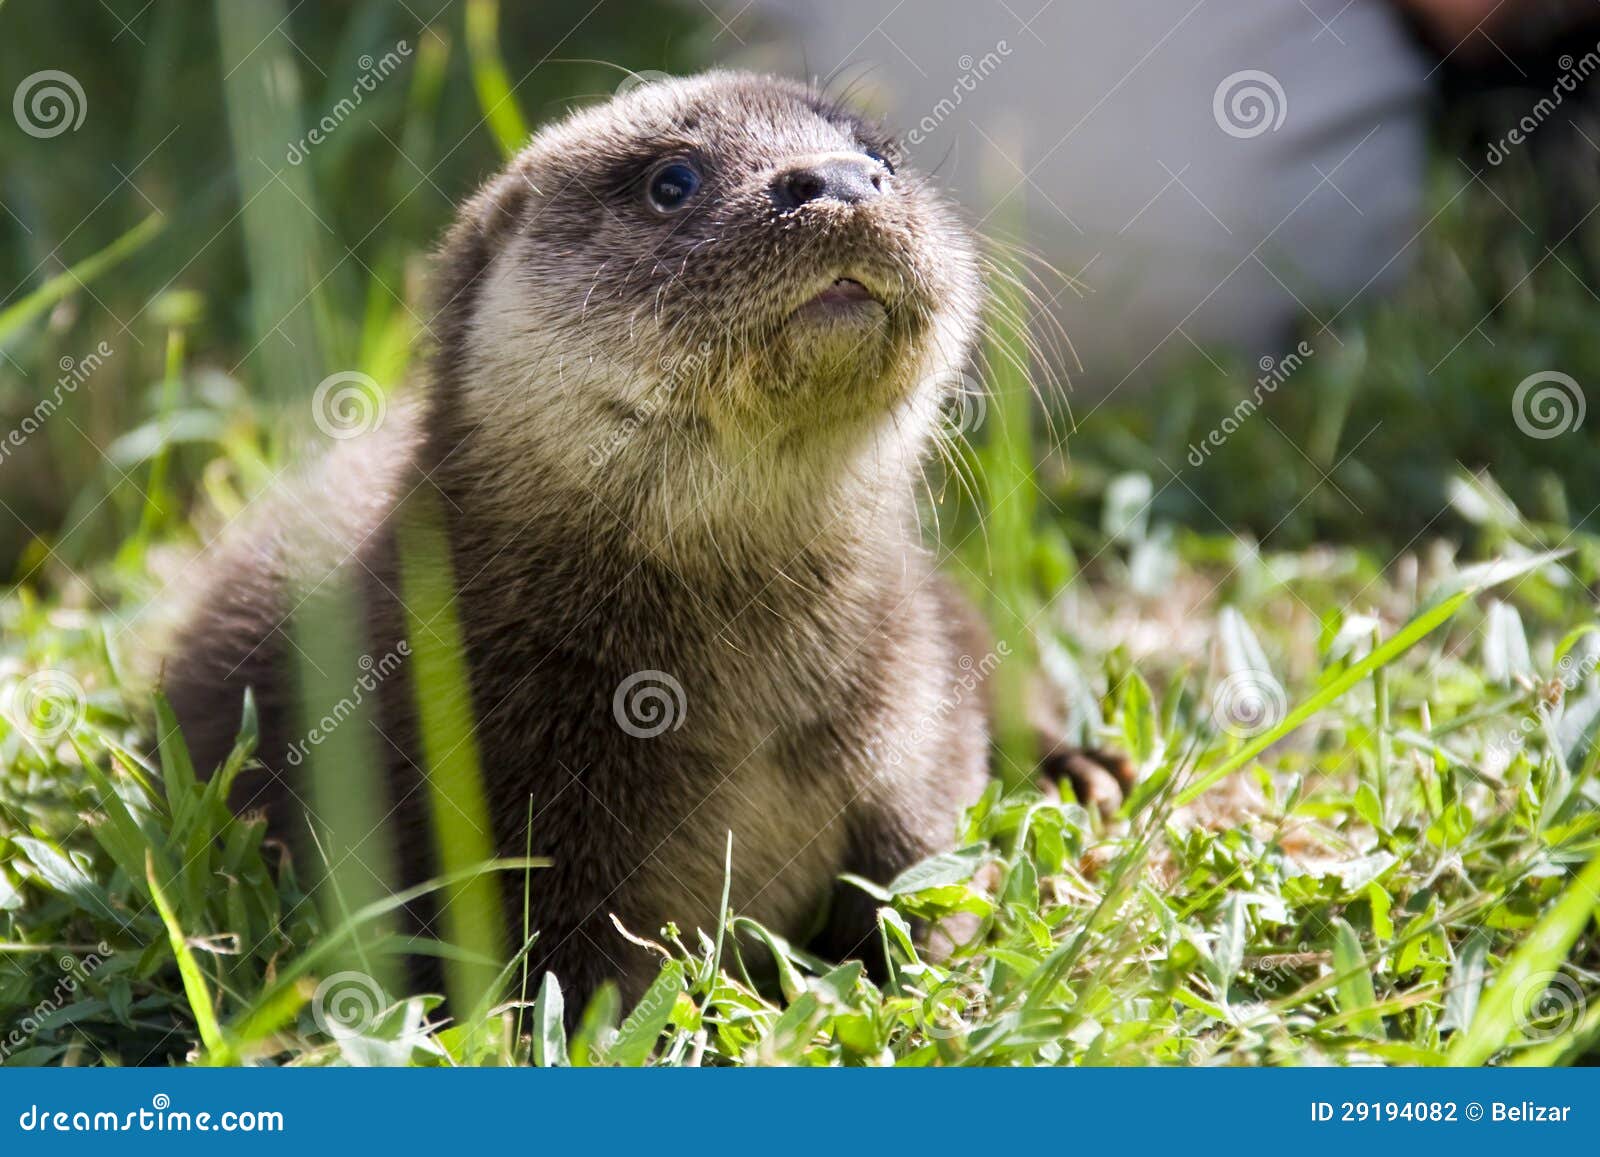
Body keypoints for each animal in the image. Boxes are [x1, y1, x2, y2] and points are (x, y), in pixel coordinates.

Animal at [159, 72, 1126, 1011]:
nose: (840, 179)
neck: (752, 693)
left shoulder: (915, 708)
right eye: (673, 180)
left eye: (881, 154)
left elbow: (926, 866)